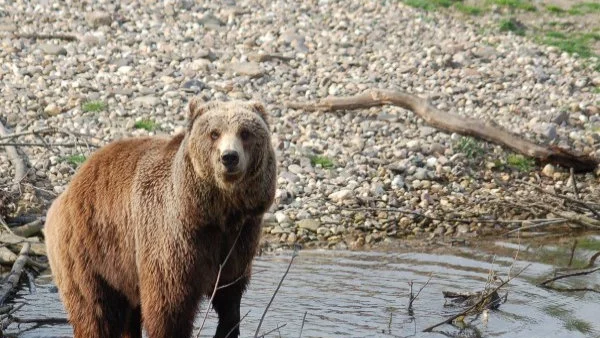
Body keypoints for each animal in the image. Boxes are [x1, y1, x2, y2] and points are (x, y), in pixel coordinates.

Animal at [44, 99, 276, 338]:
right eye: (214, 133)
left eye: (245, 132)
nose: (229, 157)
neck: (214, 212)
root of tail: (67, 190)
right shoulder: (173, 238)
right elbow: (168, 306)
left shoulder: (238, 239)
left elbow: (229, 294)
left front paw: (227, 326)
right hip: (90, 250)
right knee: (95, 311)